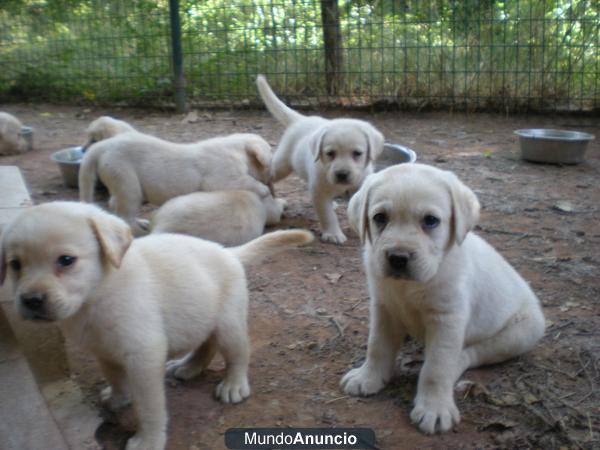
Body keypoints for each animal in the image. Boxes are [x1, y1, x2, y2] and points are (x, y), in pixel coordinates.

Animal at [1, 202, 314, 450]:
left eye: (66, 260)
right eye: (15, 264)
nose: (31, 300)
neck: (99, 293)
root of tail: (228, 252)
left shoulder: (144, 355)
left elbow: (149, 408)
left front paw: (148, 441)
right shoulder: (103, 350)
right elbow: (115, 377)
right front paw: (118, 398)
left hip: (229, 324)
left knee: (238, 354)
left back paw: (234, 385)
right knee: (207, 344)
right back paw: (188, 366)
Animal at [81, 131, 274, 234]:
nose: (271, 181)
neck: (237, 150)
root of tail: (103, 146)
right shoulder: (224, 178)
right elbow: (248, 182)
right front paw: (264, 190)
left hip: (119, 183)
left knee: (115, 206)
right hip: (126, 180)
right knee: (124, 215)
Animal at [256, 75, 384, 244]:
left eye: (357, 153)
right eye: (330, 153)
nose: (342, 174)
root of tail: (301, 120)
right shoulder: (319, 191)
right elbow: (327, 214)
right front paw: (333, 233)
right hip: (281, 165)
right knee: (269, 175)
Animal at [342, 163, 544, 434]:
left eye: (430, 220)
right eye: (379, 218)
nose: (398, 258)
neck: (411, 286)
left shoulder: (447, 319)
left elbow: (436, 368)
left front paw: (434, 408)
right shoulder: (383, 307)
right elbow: (377, 346)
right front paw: (368, 377)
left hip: (522, 332)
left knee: (470, 354)